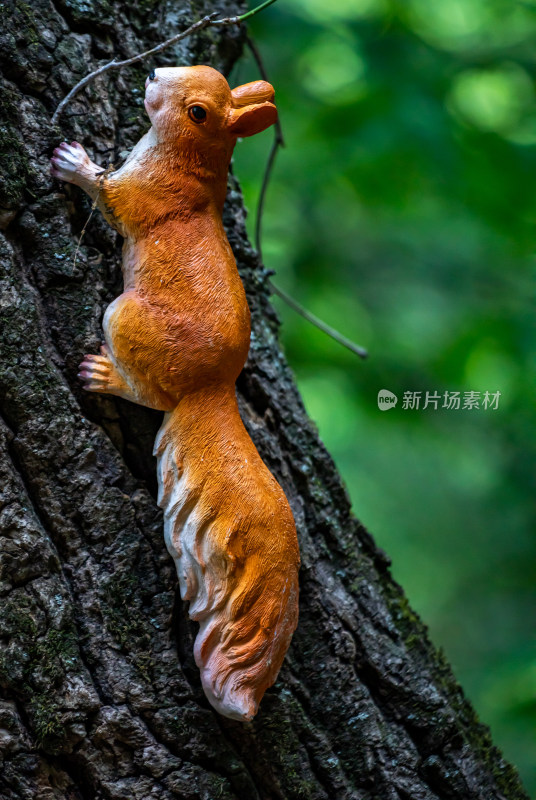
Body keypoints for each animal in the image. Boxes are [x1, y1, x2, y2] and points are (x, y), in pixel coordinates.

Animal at [50, 67, 300, 720]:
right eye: (204, 76)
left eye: (197, 112)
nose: (154, 73)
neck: (185, 164)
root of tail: (211, 389)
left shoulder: (145, 197)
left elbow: (110, 199)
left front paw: (74, 162)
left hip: (125, 318)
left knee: (150, 395)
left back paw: (104, 377)